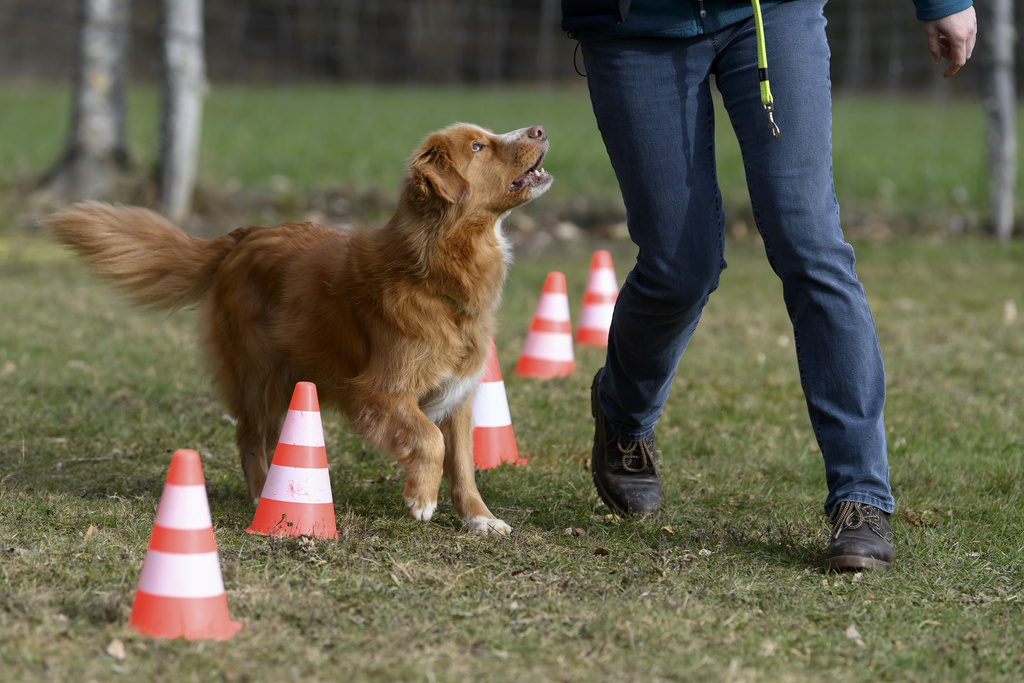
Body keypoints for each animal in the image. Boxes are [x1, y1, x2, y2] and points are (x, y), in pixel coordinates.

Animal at [46, 124, 552, 540]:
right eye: (478, 146)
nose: (540, 129)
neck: (433, 269)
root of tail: (242, 236)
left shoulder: (458, 393)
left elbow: (462, 462)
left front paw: (479, 518)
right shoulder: (377, 391)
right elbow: (430, 438)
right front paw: (421, 498)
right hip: (259, 375)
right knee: (249, 437)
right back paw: (260, 495)